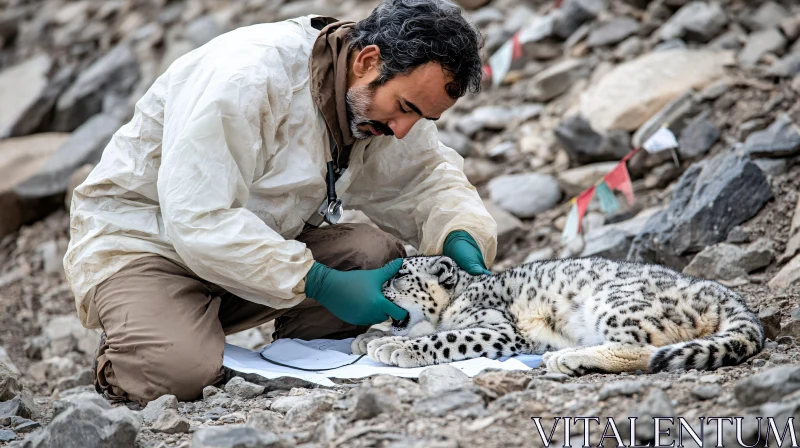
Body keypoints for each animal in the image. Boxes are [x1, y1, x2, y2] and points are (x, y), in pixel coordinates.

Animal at [354, 256, 764, 374]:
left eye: (400, 275)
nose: (377, 288)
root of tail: (723, 291)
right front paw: (367, 337)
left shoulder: (500, 328)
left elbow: (446, 337)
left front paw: (395, 348)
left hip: (614, 303)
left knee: (644, 350)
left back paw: (567, 357)